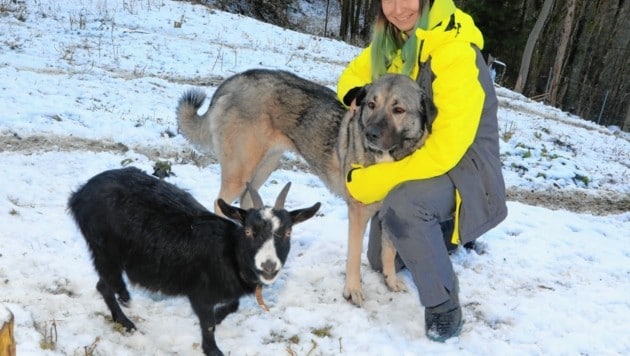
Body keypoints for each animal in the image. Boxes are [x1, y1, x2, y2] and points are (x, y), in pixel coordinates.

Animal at [69, 168, 320, 356]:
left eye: (288, 233)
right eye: (249, 231)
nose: (268, 266)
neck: (230, 252)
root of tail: (80, 194)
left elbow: (233, 305)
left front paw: (219, 317)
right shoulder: (200, 292)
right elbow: (208, 324)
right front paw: (213, 350)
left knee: (106, 284)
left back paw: (124, 300)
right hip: (104, 250)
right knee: (104, 285)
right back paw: (125, 318)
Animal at [178, 69, 434, 306]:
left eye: (398, 110)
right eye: (371, 104)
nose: (369, 134)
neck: (390, 160)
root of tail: (234, 80)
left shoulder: (390, 212)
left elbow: (389, 252)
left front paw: (391, 281)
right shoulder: (358, 213)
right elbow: (353, 257)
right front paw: (352, 291)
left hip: (265, 165)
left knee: (246, 202)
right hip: (241, 171)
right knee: (219, 204)